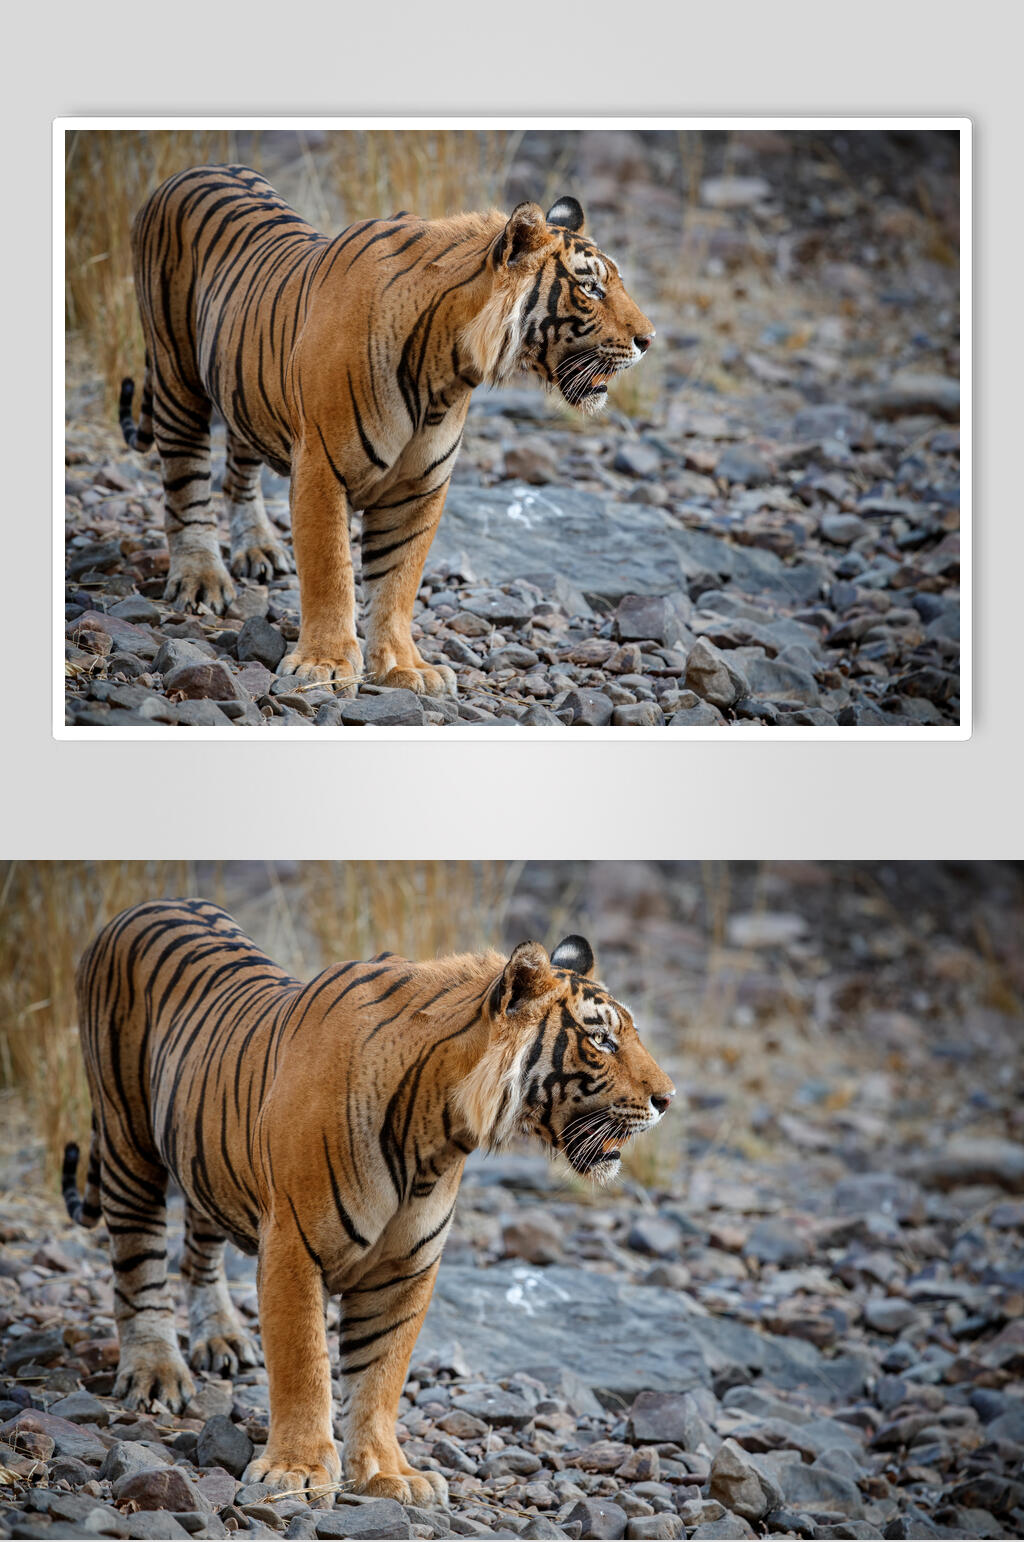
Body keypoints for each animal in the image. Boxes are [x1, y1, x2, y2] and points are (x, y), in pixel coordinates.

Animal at [63, 898, 675, 1505]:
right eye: (602, 1041)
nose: (668, 1099)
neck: (437, 1135)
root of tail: (144, 906)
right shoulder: (292, 1246)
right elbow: (304, 1361)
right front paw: (297, 1470)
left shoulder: (406, 1267)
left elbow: (381, 1374)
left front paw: (389, 1473)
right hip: (127, 1141)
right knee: (139, 1262)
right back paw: (156, 1373)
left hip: (202, 1150)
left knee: (199, 1246)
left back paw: (221, 1339)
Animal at [118, 165, 655, 695]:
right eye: (590, 289)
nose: (648, 339)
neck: (447, 371)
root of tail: (188, 171)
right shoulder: (321, 468)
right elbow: (331, 570)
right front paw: (325, 664)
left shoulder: (419, 486)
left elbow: (397, 580)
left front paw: (404, 666)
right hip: (175, 375)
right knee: (186, 482)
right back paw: (201, 579)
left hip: (242, 384)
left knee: (239, 469)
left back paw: (258, 549)